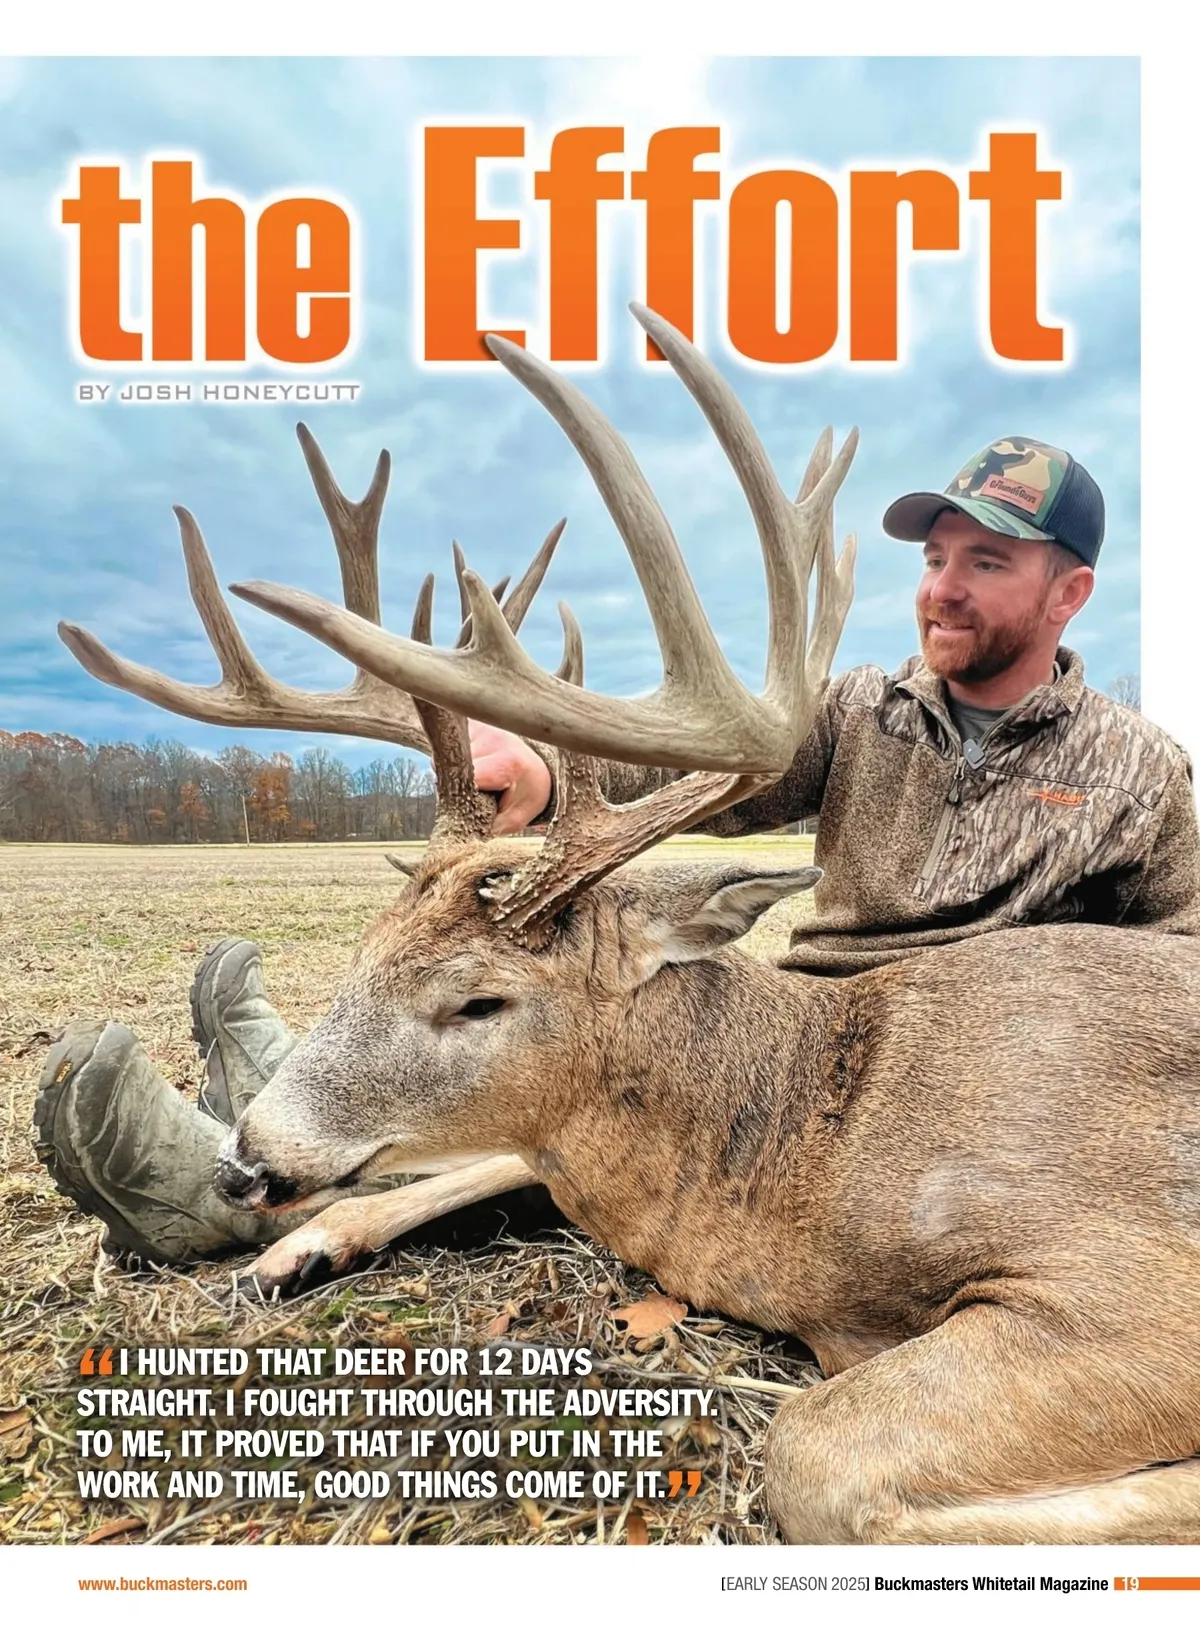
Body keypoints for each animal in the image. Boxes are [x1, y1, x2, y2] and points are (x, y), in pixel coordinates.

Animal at [58, 305, 1200, 1544]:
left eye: (479, 1001)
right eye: (363, 953)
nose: (249, 1163)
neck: (813, 1148)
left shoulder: (1129, 1280)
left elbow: (816, 1455)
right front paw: (299, 1245)